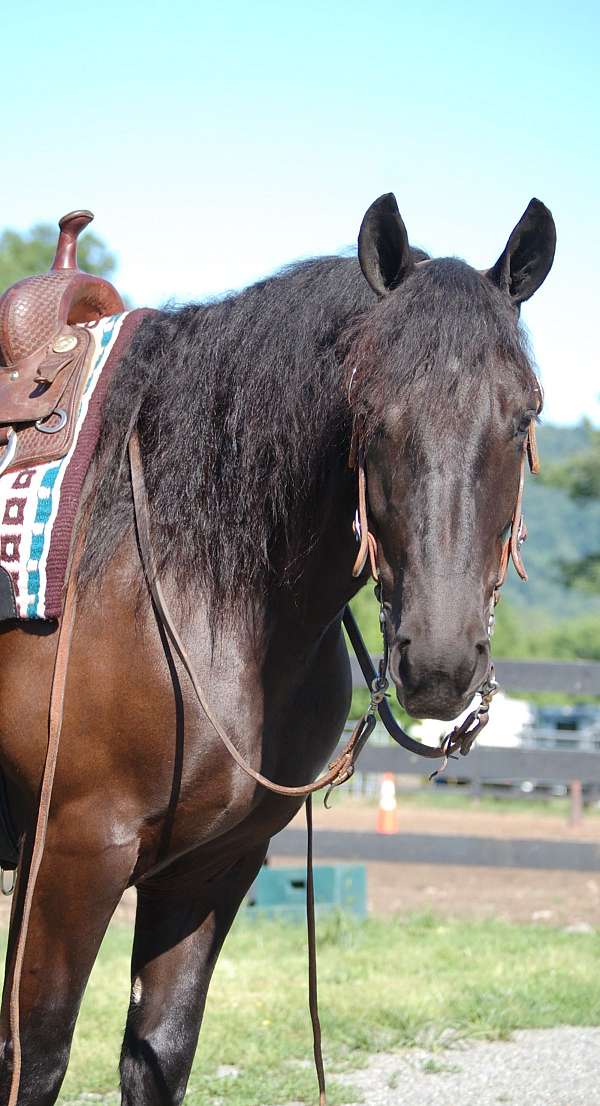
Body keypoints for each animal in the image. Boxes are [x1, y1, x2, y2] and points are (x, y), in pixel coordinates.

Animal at [0, 191, 555, 1105]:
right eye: (373, 417)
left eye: (524, 418)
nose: (440, 662)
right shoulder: (72, 855)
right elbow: (33, 1059)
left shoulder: (213, 866)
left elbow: (158, 1053)